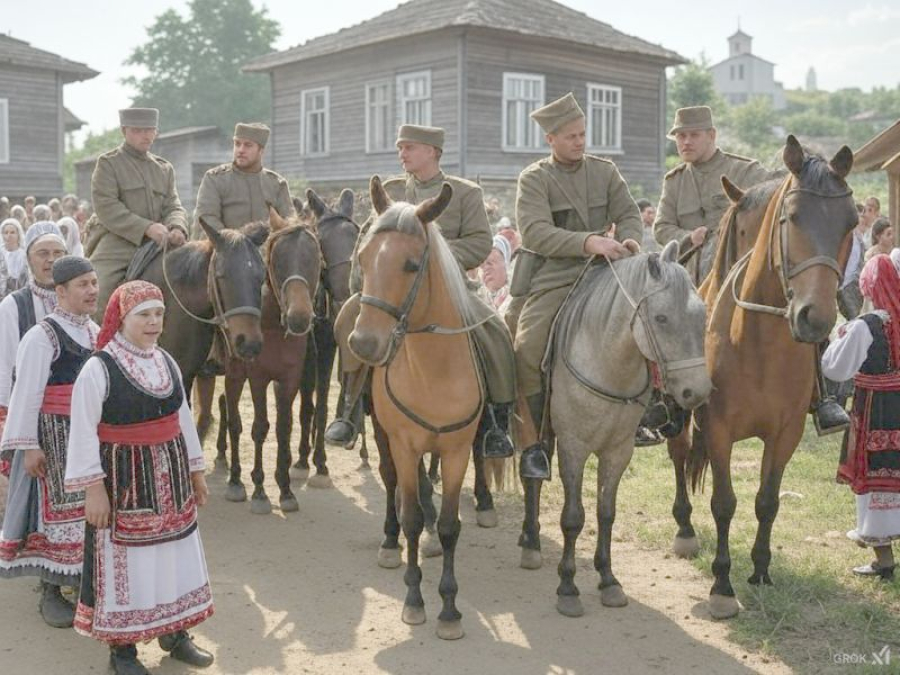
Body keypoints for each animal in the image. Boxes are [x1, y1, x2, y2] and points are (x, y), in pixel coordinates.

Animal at [214, 214, 322, 513]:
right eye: (277, 260)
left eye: (315, 258)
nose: (299, 317)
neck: (272, 324)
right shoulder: (258, 378)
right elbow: (260, 428)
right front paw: (260, 490)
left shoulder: (289, 379)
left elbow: (283, 427)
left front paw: (285, 488)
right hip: (235, 374)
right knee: (233, 417)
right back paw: (235, 479)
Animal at [350, 176, 481, 640]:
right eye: (363, 257)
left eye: (410, 265)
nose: (363, 343)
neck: (433, 371)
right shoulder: (404, 445)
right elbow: (409, 514)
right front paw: (414, 600)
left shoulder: (458, 451)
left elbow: (449, 526)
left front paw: (450, 608)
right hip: (383, 436)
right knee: (390, 483)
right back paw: (390, 543)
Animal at [528, 243, 712, 616]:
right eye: (661, 318)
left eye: (702, 315)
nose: (697, 392)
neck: (606, 363)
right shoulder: (573, 447)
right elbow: (573, 517)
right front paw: (567, 586)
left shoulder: (618, 451)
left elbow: (606, 513)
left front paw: (608, 579)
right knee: (531, 478)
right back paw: (531, 541)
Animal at [667, 136, 857, 619]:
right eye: (791, 217)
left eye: (850, 223)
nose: (815, 318)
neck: (759, 345)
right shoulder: (717, 429)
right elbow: (723, 503)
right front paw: (722, 585)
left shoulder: (785, 433)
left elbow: (767, 502)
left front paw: (760, 570)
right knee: (679, 457)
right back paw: (684, 530)